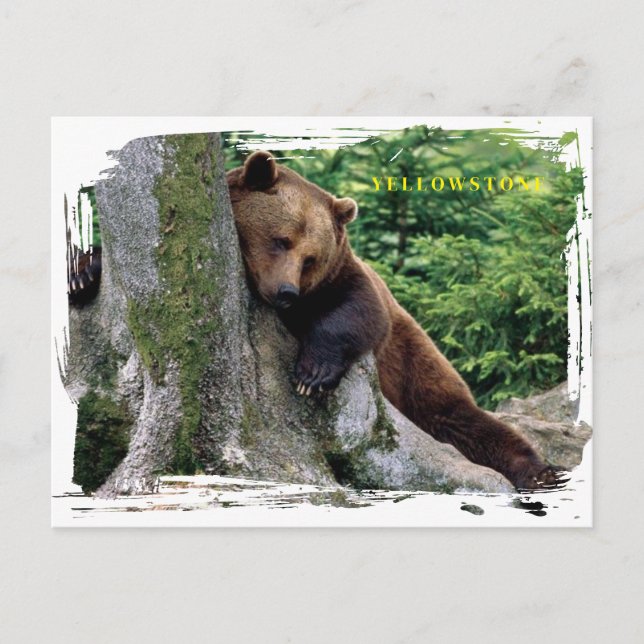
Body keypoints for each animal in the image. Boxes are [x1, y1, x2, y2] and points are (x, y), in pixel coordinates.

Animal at [227, 151, 565, 491]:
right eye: (281, 240)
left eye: (310, 259)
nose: (287, 292)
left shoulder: (340, 278)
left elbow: (360, 310)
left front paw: (313, 375)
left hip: (413, 363)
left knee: (460, 418)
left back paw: (541, 472)